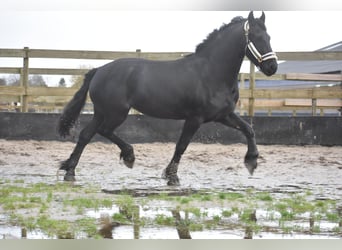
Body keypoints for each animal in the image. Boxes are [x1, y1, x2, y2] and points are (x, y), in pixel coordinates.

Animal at [58, 11, 278, 186]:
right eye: (257, 36)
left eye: (269, 36)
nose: (272, 67)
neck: (211, 72)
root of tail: (99, 70)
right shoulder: (195, 118)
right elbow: (181, 146)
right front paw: (171, 176)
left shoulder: (223, 115)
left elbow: (249, 129)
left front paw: (252, 162)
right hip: (116, 113)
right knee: (104, 131)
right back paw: (129, 156)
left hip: (101, 112)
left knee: (86, 135)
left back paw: (70, 171)